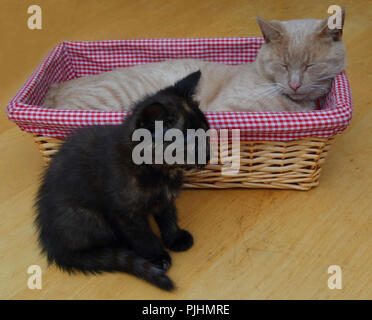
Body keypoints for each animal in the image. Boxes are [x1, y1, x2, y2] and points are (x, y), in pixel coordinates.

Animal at [35, 71, 209, 292]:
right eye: (191, 144)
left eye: (206, 133)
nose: (209, 156)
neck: (159, 172)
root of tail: (52, 244)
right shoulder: (126, 213)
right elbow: (144, 236)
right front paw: (157, 257)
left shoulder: (164, 199)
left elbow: (169, 218)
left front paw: (175, 239)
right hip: (89, 217)